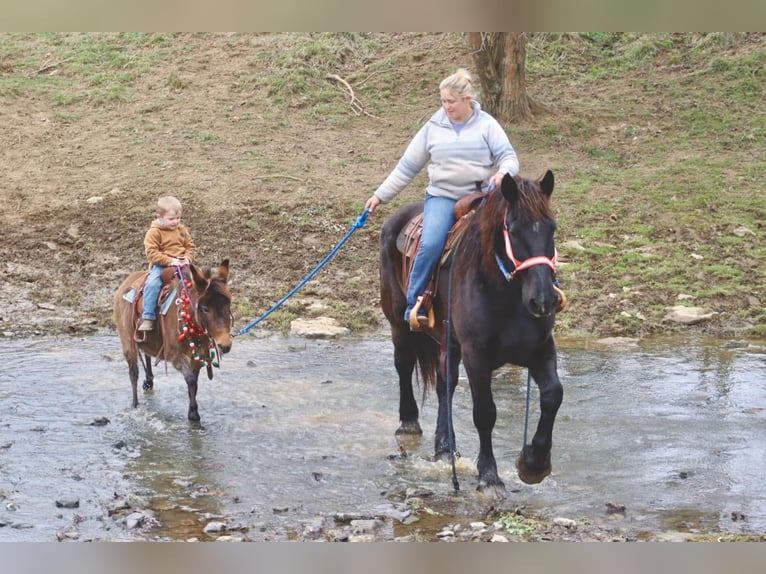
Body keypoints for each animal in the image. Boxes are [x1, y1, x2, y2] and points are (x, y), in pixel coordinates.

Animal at [378, 170, 564, 496]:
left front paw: (533, 463)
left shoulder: (541, 348)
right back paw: (409, 422)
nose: (543, 300)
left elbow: (553, 395)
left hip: (448, 342)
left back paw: (444, 449)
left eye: (551, 227)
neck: (506, 294)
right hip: (399, 325)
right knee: (404, 365)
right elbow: (485, 413)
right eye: (513, 229)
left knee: (445, 385)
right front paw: (489, 476)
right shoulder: (476, 356)